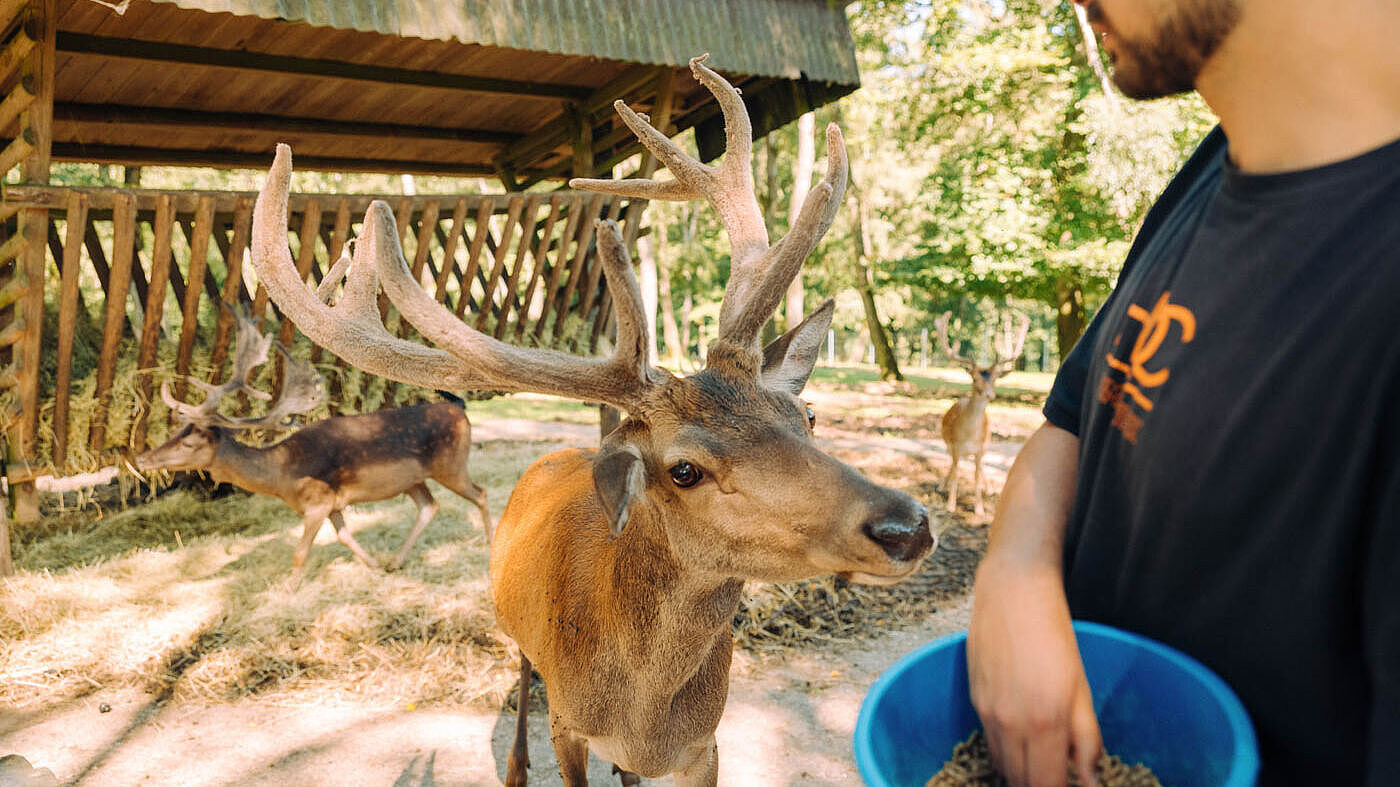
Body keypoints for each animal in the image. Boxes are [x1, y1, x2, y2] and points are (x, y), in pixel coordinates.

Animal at [133, 306, 490, 582]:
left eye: (190, 442)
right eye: (175, 431)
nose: (141, 459)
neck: (282, 477)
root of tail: (460, 407)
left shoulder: (317, 502)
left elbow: (300, 553)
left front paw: (286, 593)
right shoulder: (333, 504)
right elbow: (345, 537)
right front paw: (374, 565)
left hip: (451, 464)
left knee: (480, 493)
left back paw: (489, 543)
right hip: (413, 479)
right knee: (430, 506)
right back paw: (395, 561)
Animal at [247, 56, 935, 784]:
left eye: (808, 413)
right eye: (684, 469)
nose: (908, 524)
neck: (644, 718)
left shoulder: (707, 744)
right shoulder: (570, 726)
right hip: (514, 630)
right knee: (522, 674)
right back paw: (517, 761)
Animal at [940, 309, 1030, 518]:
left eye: (995, 378)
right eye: (974, 378)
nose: (990, 394)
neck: (968, 436)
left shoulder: (980, 450)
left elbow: (976, 477)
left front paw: (979, 509)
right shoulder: (955, 447)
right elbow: (956, 473)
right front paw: (950, 505)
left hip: (986, 445)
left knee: (980, 469)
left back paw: (989, 488)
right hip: (948, 444)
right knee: (952, 465)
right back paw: (942, 485)